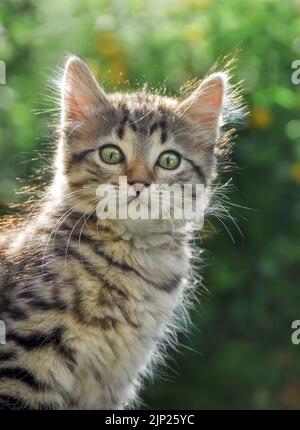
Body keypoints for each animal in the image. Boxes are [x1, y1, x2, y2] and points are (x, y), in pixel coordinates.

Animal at [0, 57, 236, 410]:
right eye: (111, 154)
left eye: (169, 160)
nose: (139, 183)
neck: (131, 260)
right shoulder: (25, 352)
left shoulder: (115, 382)